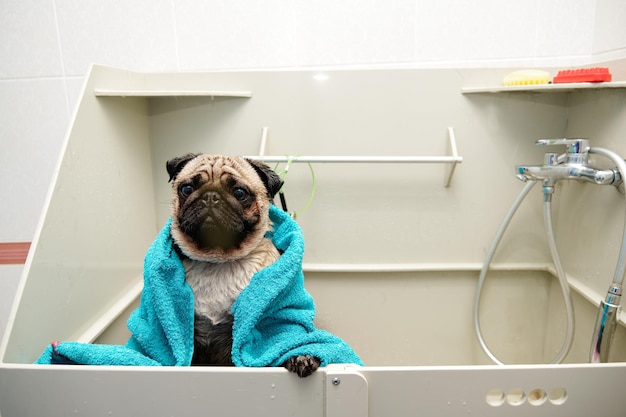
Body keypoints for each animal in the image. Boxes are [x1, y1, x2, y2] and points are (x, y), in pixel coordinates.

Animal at [166, 154, 320, 376]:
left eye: (240, 193)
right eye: (186, 189)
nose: (210, 196)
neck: (217, 261)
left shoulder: (276, 316)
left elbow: (285, 335)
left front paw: (299, 356)